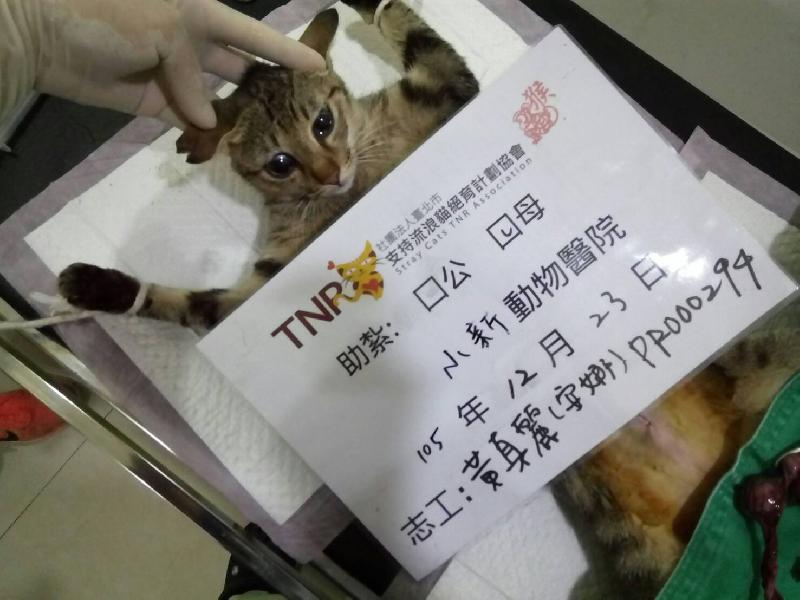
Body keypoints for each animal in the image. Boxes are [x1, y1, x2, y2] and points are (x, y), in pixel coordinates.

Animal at [57, 0, 478, 328]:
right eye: (279, 163)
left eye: (323, 123)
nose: (332, 175)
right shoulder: (258, 292)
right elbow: (186, 303)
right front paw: (100, 286)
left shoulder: (443, 84)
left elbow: (400, 21)